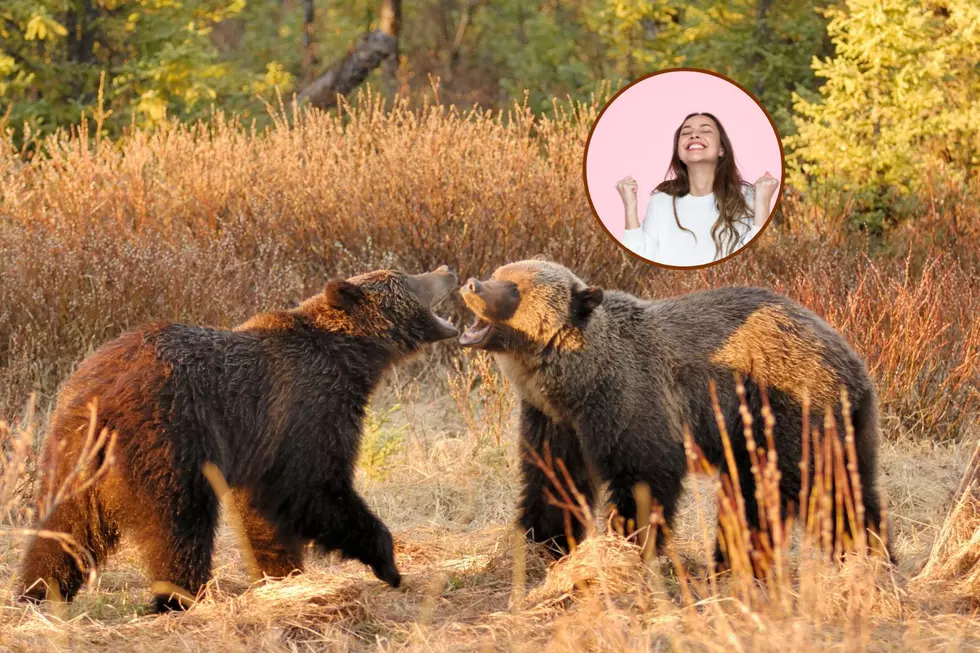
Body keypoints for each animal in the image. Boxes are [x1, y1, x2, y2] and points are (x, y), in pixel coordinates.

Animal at [16, 264, 460, 612]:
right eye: (405, 277)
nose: (447, 271)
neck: (353, 357)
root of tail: (101, 396)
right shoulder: (310, 408)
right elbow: (317, 488)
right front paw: (388, 563)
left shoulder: (264, 446)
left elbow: (264, 513)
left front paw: (282, 575)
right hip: (171, 439)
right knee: (179, 526)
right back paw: (177, 598)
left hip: (71, 451)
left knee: (62, 529)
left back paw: (38, 591)